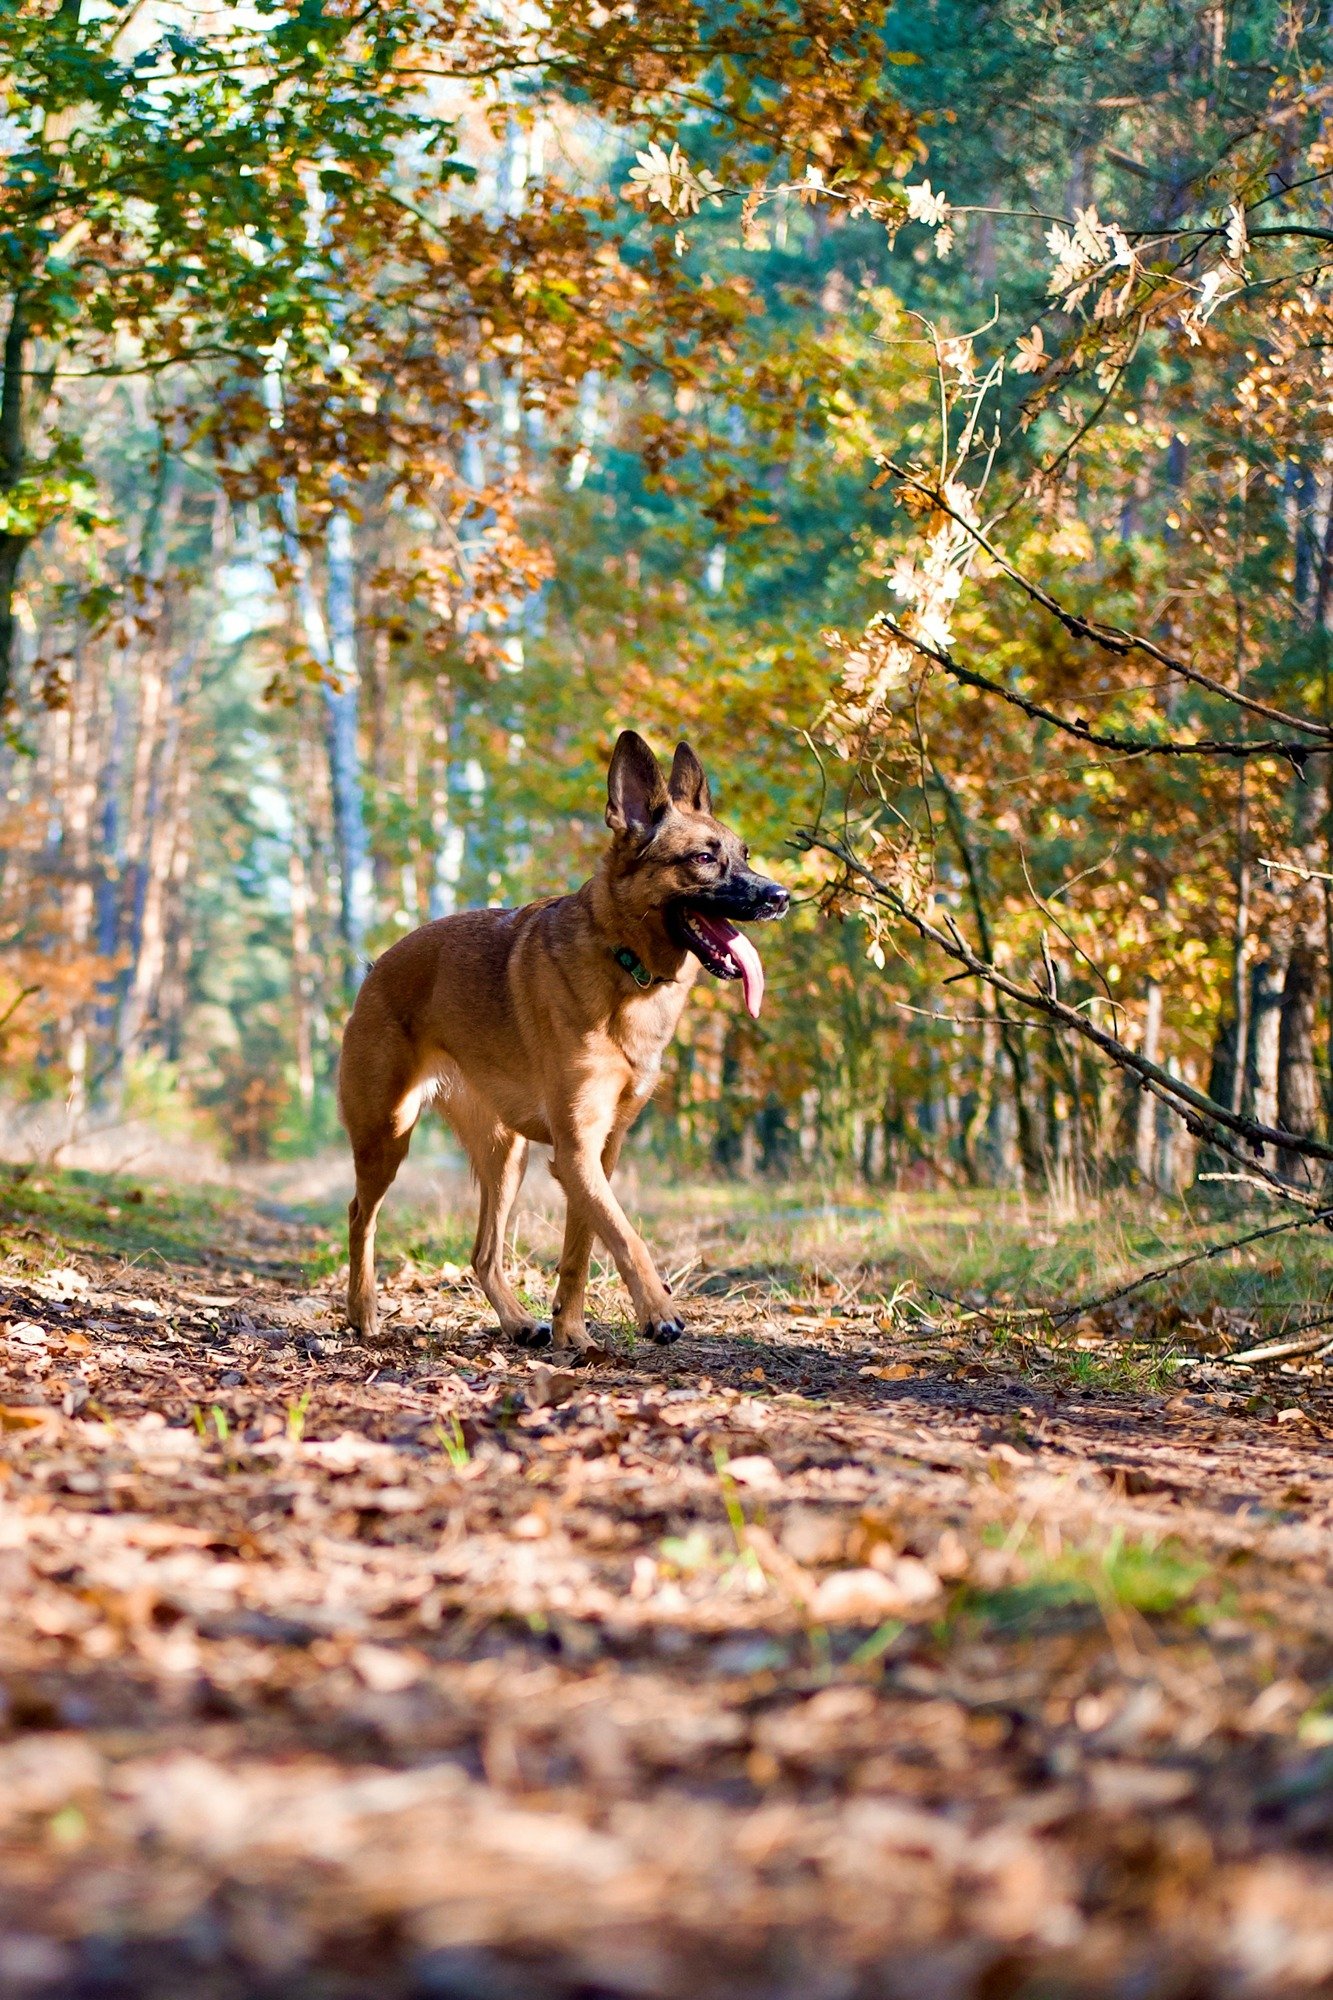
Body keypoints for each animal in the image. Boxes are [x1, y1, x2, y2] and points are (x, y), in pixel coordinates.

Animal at [338, 728, 784, 1352]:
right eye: (702, 858)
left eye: (743, 854)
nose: (780, 896)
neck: (625, 966)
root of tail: (377, 966)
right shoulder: (577, 1151)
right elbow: (625, 1236)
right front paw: (658, 1312)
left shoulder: (598, 1154)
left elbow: (584, 1246)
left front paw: (573, 1333)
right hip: (387, 1135)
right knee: (361, 1215)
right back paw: (362, 1312)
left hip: (507, 1157)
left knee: (483, 1253)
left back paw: (520, 1323)